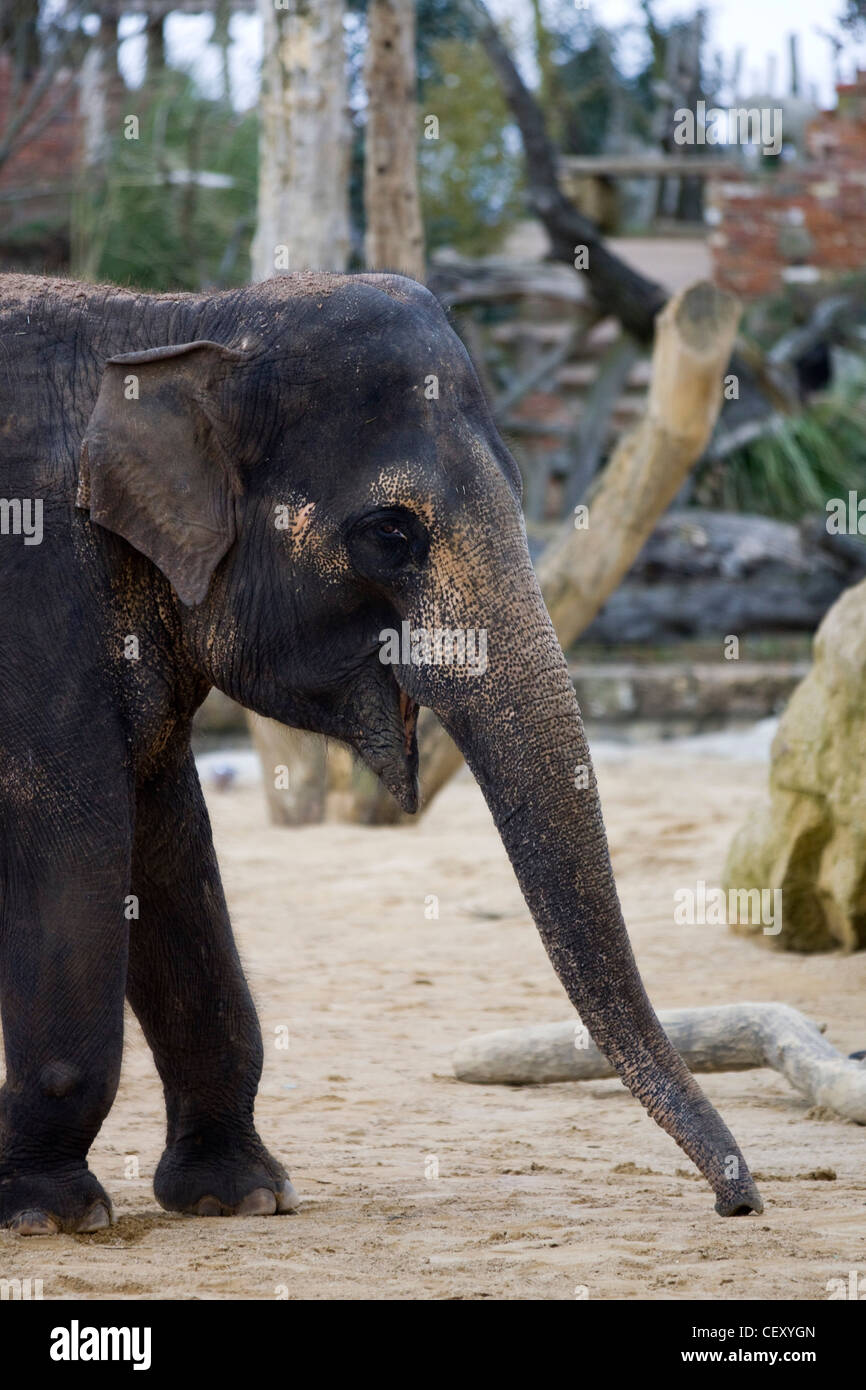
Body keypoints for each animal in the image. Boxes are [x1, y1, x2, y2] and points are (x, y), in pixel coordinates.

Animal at [0, 268, 756, 1228]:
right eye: (392, 531)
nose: (741, 1202)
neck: (173, 319)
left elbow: (169, 844)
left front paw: (240, 1196)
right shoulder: (33, 593)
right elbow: (75, 839)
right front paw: (50, 1214)